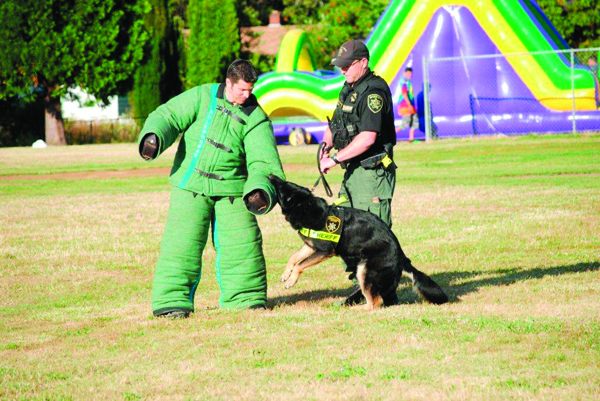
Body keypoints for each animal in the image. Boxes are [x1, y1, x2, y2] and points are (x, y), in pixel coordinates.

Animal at [270, 175, 448, 310]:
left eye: (281, 186)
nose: (271, 175)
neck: (304, 205)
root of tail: (401, 256)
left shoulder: (324, 251)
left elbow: (300, 265)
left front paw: (291, 280)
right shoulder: (310, 246)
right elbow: (294, 258)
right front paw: (286, 274)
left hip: (365, 271)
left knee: (375, 301)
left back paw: (357, 309)